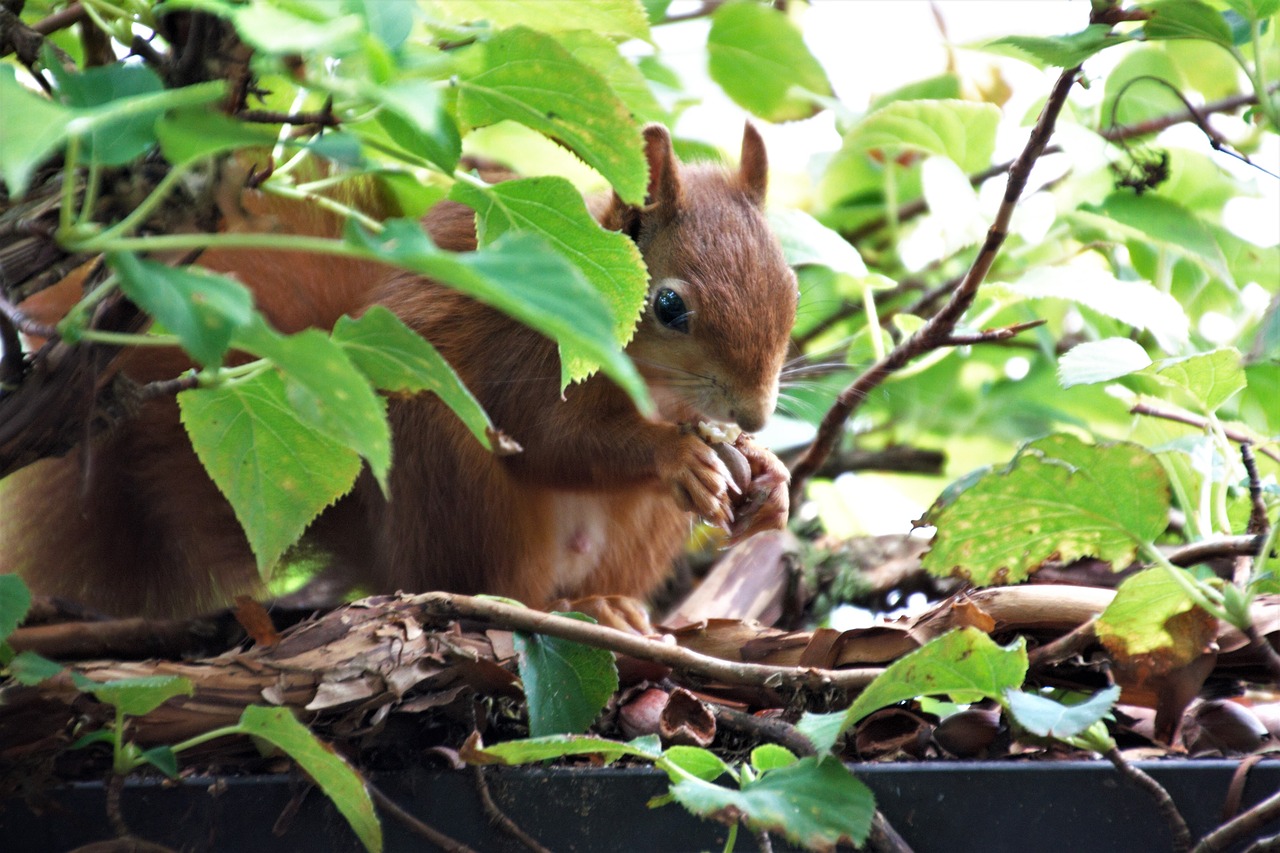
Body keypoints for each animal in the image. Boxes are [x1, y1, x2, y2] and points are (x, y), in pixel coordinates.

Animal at [2, 122, 798, 614]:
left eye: (791, 286)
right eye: (668, 306)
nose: (756, 414)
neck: (652, 390)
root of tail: (387, 551)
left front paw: (768, 476)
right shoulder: (528, 348)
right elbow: (548, 439)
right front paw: (677, 456)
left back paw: (611, 604)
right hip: (454, 482)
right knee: (489, 579)